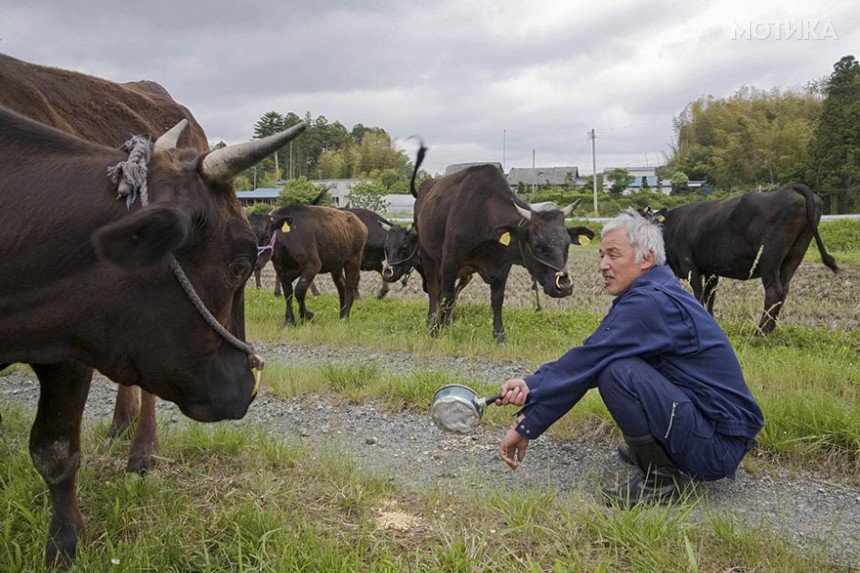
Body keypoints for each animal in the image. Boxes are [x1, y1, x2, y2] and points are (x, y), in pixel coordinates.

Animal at [0, 103, 310, 564]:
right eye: (239, 265)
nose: (250, 385)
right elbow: (54, 452)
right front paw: (65, 545)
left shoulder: (68, 355)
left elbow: (54, 452)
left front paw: (64, 546)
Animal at [410, 145, 592, 342]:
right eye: (537, 246)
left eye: (567, 244)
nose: (564, 286)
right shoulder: (450, 261)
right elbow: (446, 296)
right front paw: (435, 330)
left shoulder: (503, 266)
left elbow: (497, 300)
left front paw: (499, 335)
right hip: (427, 255)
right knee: (434, 289)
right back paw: (431, 320)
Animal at [648, 183, 836, 332]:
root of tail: (790, 189)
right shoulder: (711, 270)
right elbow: (710, 298)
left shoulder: (690, 266)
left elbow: (699, 296)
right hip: (794, 256)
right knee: (783, 290)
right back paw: (770, 330)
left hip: (769, 258)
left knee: (774, 291)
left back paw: (760, 333)